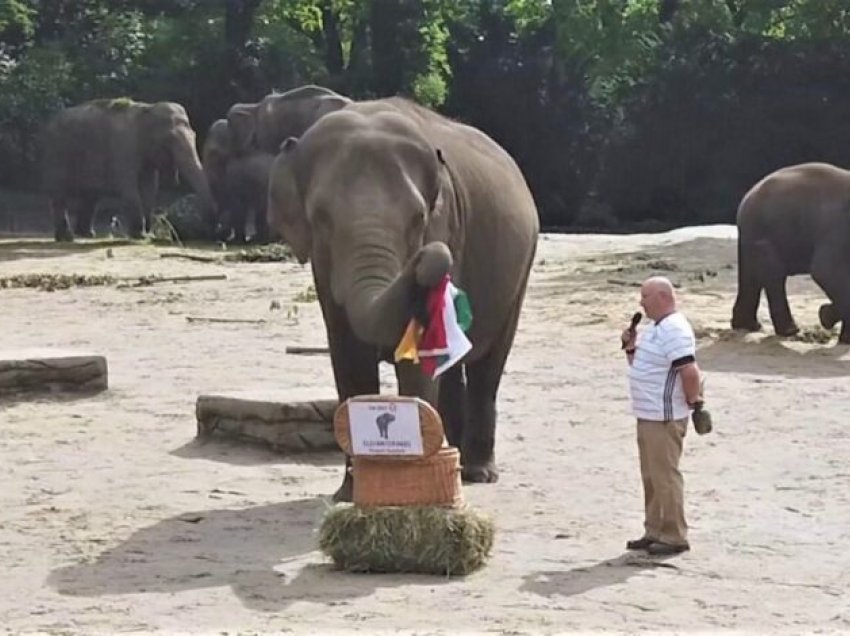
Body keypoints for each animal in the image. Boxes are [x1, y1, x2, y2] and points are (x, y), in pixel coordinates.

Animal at [42, 98, 215, 240]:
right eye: (169, 140)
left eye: (194, 135)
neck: (147, 109)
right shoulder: (124, 146)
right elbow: (129, 185)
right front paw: (139, 235)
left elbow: (149, 188)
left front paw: (148, 234)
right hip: (56, 154)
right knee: (60, 195)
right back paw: (66, 237)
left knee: (91, 196)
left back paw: (87, 234)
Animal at [268, 97, 540, 502]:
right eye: (321, 219)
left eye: (419, 217)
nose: (433, 255)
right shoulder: (323, 270)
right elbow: (348, 358)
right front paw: (349, 493)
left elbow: (418, 362)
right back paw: (454, 456)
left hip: (520, 270)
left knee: (487, 367)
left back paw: (477, 472)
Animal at [728, 161, 848, 346]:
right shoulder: (836, 226)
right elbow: (825, 271)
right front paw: (825, 316)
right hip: (764, 233)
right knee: (774, 276)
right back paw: (789, 331)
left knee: (753, 276)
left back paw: (749, 326)